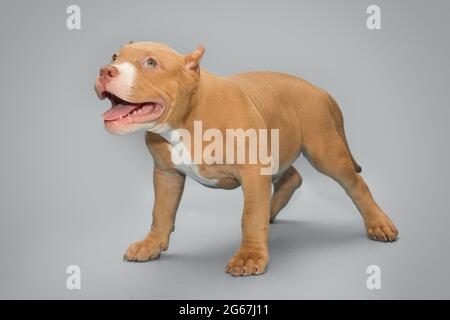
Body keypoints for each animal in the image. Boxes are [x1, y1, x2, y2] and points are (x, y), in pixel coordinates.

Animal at [94, 42, 398, 278]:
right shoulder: (166, 174)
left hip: (325, 151)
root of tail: (318, 89)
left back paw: (378, 224)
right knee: (292, 178)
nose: (105, 70)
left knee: (355, 184)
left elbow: (250, 216)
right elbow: (161, 211)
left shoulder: (252, 172)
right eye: (114, 56)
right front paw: (151, 244)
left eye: (150, 62)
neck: (188, 116)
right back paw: (271, 212)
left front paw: (249, 257)